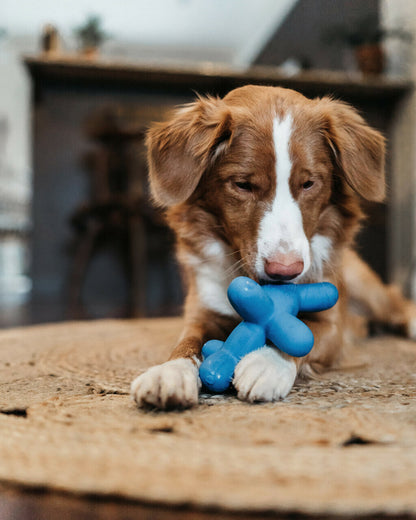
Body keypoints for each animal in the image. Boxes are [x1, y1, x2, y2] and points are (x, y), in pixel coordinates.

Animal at [131, 85, 416, 408]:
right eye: (243, 184)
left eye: (308, 183)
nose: (285, 271)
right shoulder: (203, 310)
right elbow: (187, 344)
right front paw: (169, 372)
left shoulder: (333, 324)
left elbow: (305, 335)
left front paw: (266, 362)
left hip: (363, 285)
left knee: (395, 304)